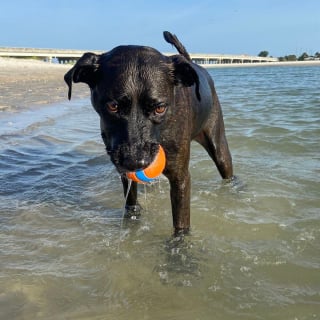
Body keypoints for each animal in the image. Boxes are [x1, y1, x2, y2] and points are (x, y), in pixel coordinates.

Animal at [64, 31, 232, 235]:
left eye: (159, 108)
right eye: (113, 106)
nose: (136, 161)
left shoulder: (181, 177)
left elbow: (181, 225)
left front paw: (179, 244)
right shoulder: (123, 170)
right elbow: (131, 203)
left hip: (219, 146)